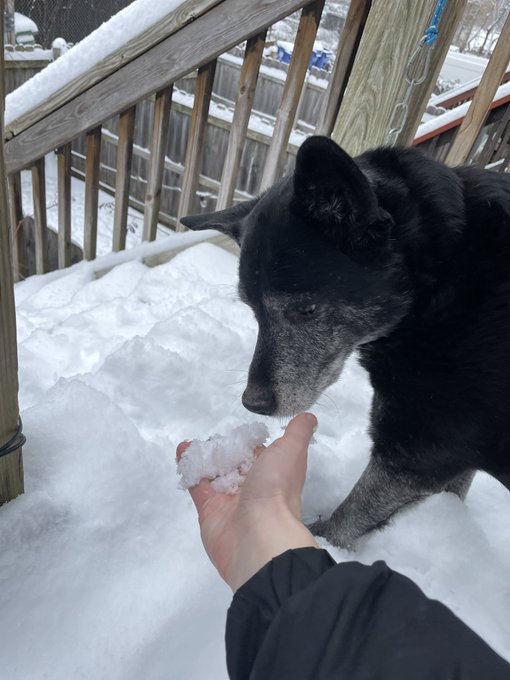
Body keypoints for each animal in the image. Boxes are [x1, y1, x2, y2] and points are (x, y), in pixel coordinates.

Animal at [181, 135, 510, 544]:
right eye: (252, 309)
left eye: (305, 309)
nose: (252, 404)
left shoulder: (415, 452)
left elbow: (348, 519)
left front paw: (321, 539)